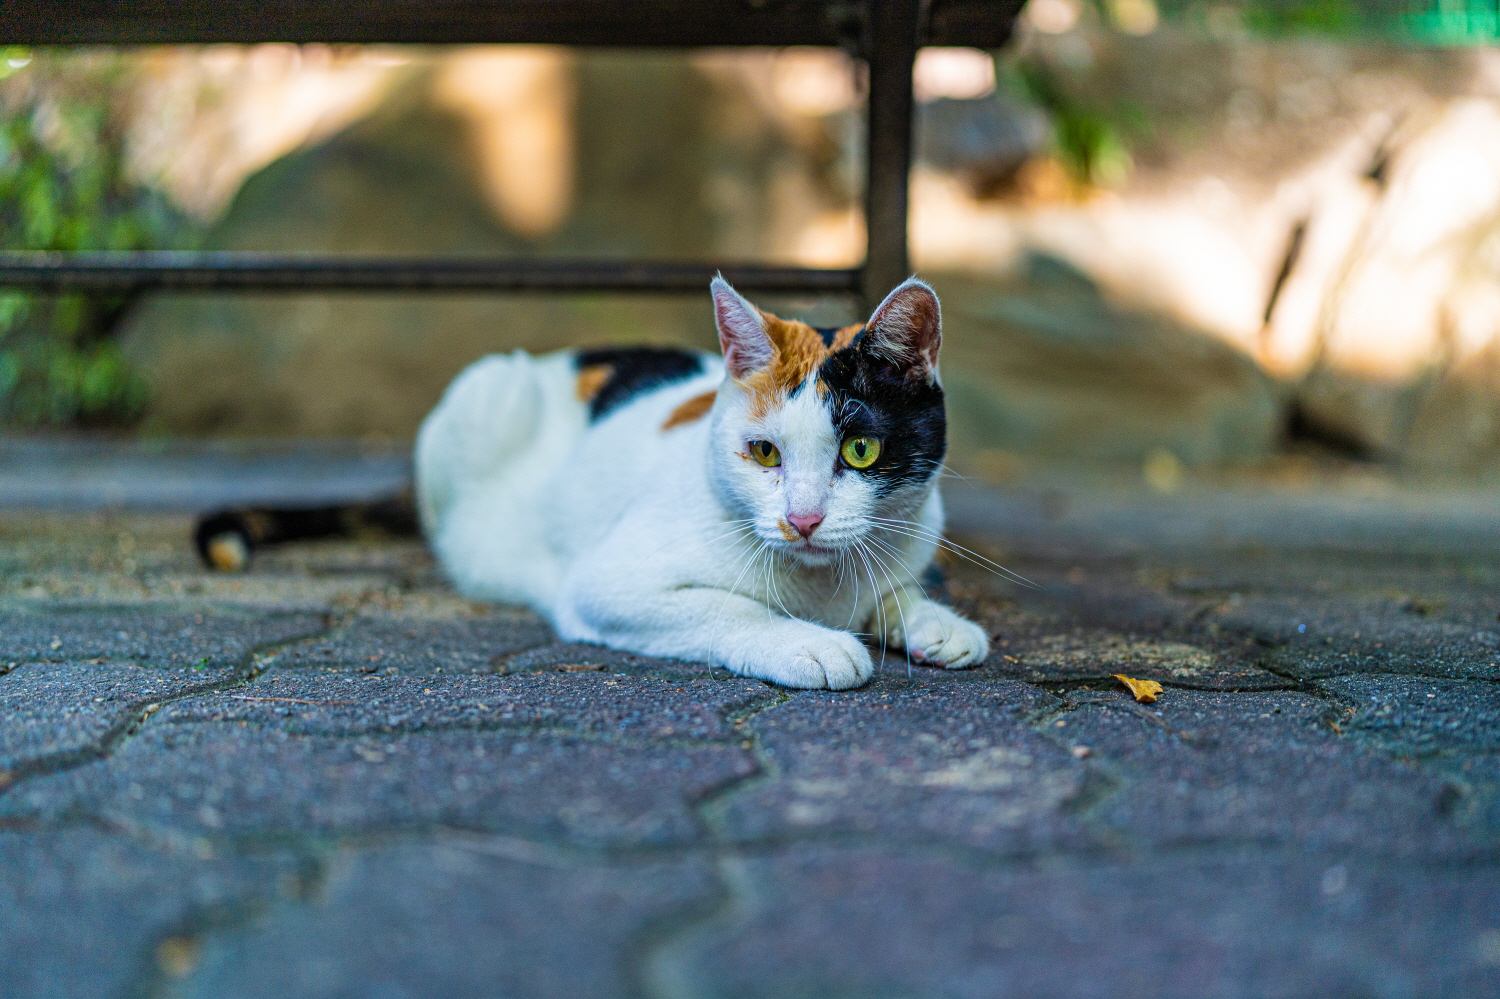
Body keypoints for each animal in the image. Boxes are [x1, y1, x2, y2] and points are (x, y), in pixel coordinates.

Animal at [417, 276, 990, 690]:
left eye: (861, 449)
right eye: (764, 452)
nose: (802, 520)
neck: (822, 588)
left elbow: (894, 590)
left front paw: (934, 620)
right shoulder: (607, 586)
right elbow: (733, 607)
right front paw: (811, 644)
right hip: (489, 392)